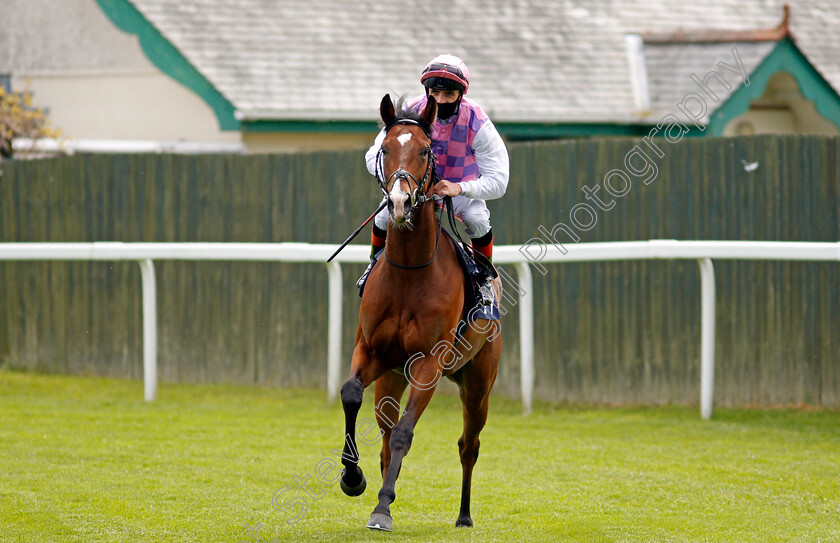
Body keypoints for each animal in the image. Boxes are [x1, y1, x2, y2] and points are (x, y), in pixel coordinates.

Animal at [338, 93, 502, 532]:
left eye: (427, 150)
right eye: (384, 148)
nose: (399, 201)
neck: (409, 273)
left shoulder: (428, 362)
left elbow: (403, 434)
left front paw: (382, 508)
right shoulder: (371, 352)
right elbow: (351, 395)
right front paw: (352, 478)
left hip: (478, 383)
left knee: (469, 444)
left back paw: (463, 515)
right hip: (391, 377)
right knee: (382, 432)